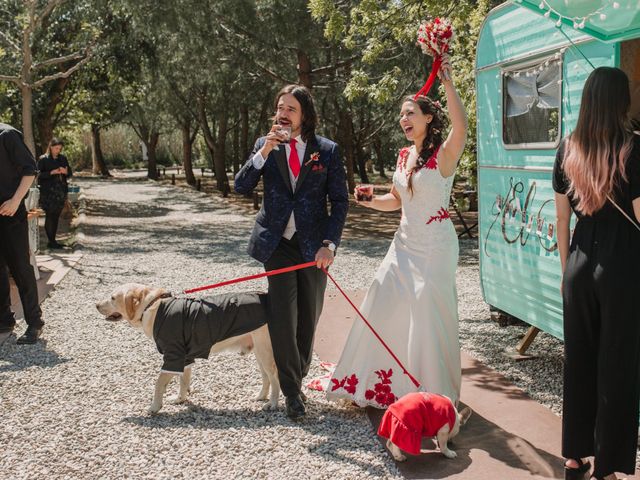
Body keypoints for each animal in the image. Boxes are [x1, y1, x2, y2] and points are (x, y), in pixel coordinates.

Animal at [97, 284, 280, 414]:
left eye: (112, 298)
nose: (96, 305)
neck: (152, 306)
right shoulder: (185, 358)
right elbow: (183, 381)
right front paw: (180, 399)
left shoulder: (173, 356)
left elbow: (159, 383)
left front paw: (155, 407)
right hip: (259, 352)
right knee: (266, 378)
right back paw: (261, 396)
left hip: (265, 353)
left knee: (275, 378)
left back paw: (272, 403)